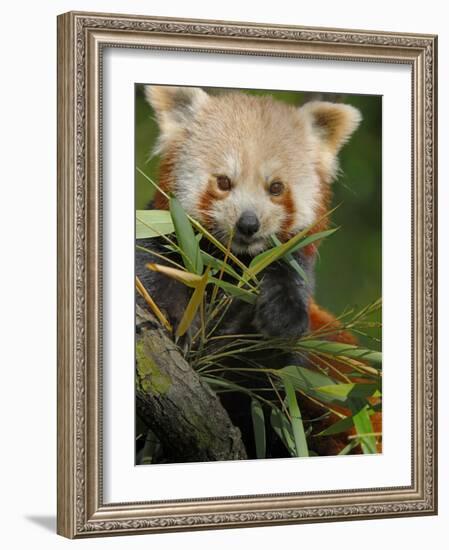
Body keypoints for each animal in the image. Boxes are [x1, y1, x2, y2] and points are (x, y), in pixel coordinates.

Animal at [136, 85, 378, 458]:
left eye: (276, 187)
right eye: (223, 182)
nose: (248, 224)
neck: (231, 264)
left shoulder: (288, 269)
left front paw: (278, 318)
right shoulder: (165, 241)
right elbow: (153, 278)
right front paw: (176, 321)